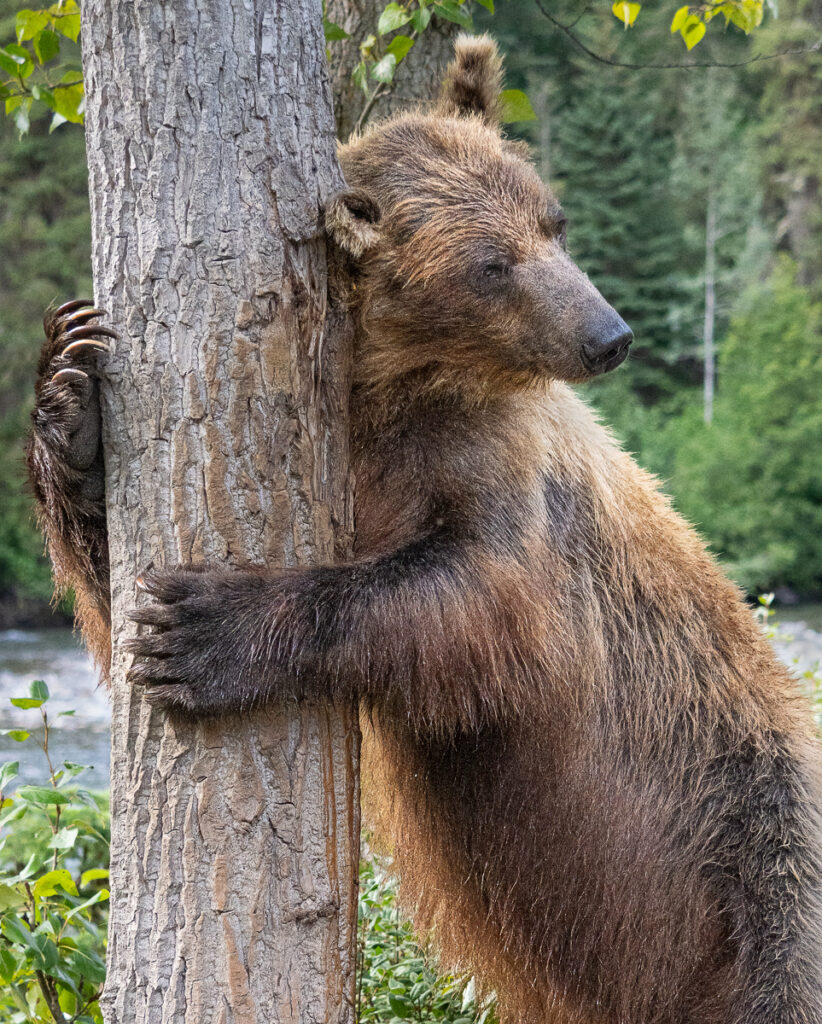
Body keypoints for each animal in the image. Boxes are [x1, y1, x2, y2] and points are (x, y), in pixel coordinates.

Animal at [27, 35, 822, 1024]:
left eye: (553, 223)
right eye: (492, 262)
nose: (610, 334)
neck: (394, 390)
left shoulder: (501, 481)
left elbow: (477, 596)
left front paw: (203, 627)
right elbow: (109, 577)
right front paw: (72, 393)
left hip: (765, 851)